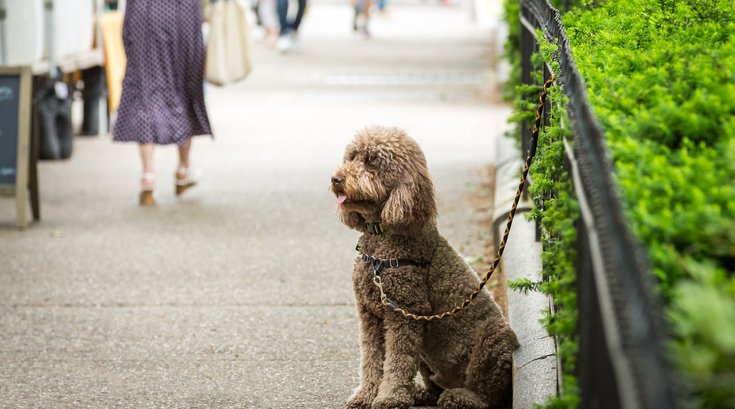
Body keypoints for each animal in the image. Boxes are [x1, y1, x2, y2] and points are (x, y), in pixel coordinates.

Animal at [330, 125, 520, 408]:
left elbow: (397, 363)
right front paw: (366, 395)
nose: (336, 178)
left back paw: (460, 397)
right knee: (434, 386)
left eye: (372, 161)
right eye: (351, 157)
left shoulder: (405, 312)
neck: (381, 237)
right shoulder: (369, 314)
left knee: (487, 394)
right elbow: (371, 359)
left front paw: (390, 397)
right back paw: (421, 393)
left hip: (494, 336)